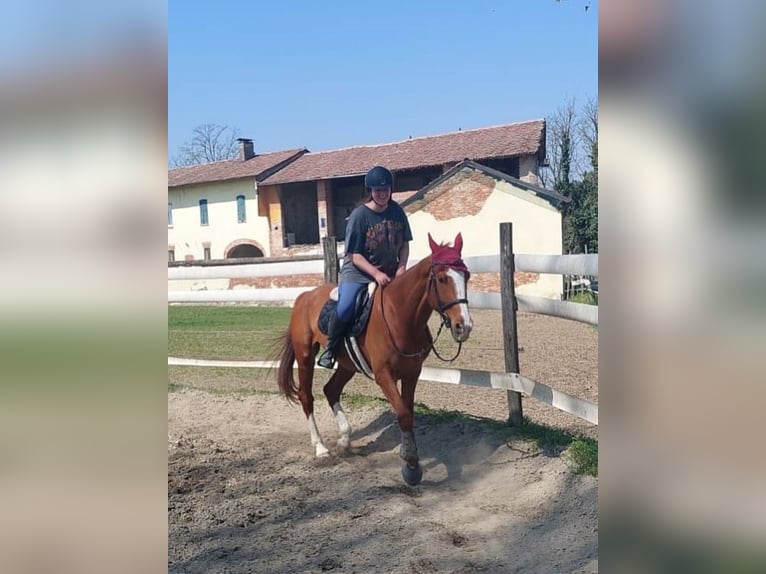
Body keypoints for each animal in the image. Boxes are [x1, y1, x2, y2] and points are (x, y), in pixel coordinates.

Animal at [275, 232, 473, 485]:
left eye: (466, 276)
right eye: (441, 279)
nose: (463, 326)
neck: (399, 316)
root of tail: (305, 296)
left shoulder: (412, 373)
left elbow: (408, 413)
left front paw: (410, 458)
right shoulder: (383, 375)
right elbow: (403, 414)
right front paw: (411, 466)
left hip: (347, 364)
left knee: (331, 390)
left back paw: (344, 441)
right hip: (305, 356)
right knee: (306, 396)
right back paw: (320, 448)